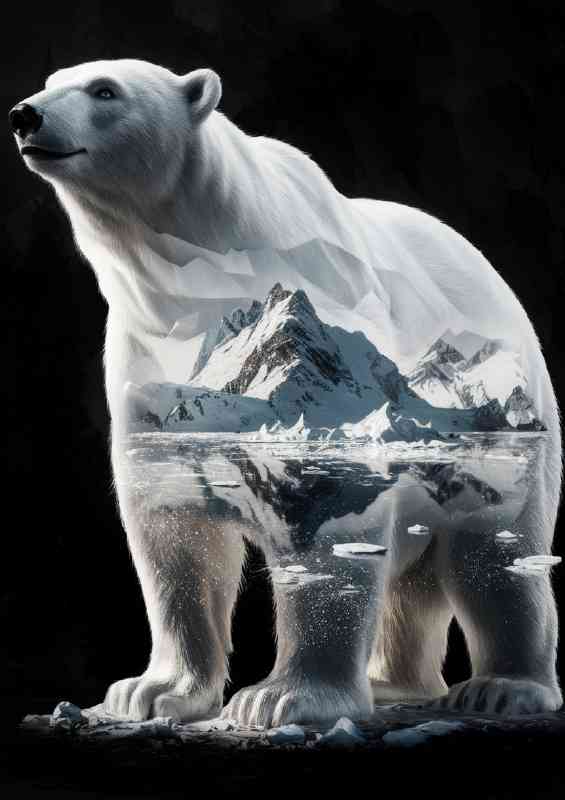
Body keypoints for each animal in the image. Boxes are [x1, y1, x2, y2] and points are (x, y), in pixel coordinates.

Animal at [10, 58, 562, 726]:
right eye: (51, 80)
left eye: (104, 90)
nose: (25, 114)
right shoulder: (146, 359)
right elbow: (175, 532)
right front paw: (148, 690)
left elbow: (328, 529)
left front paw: (283, 697)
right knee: (415, 585)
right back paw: (393, 683)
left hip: (512, 428)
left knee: (496, 557)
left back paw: (505, 687)